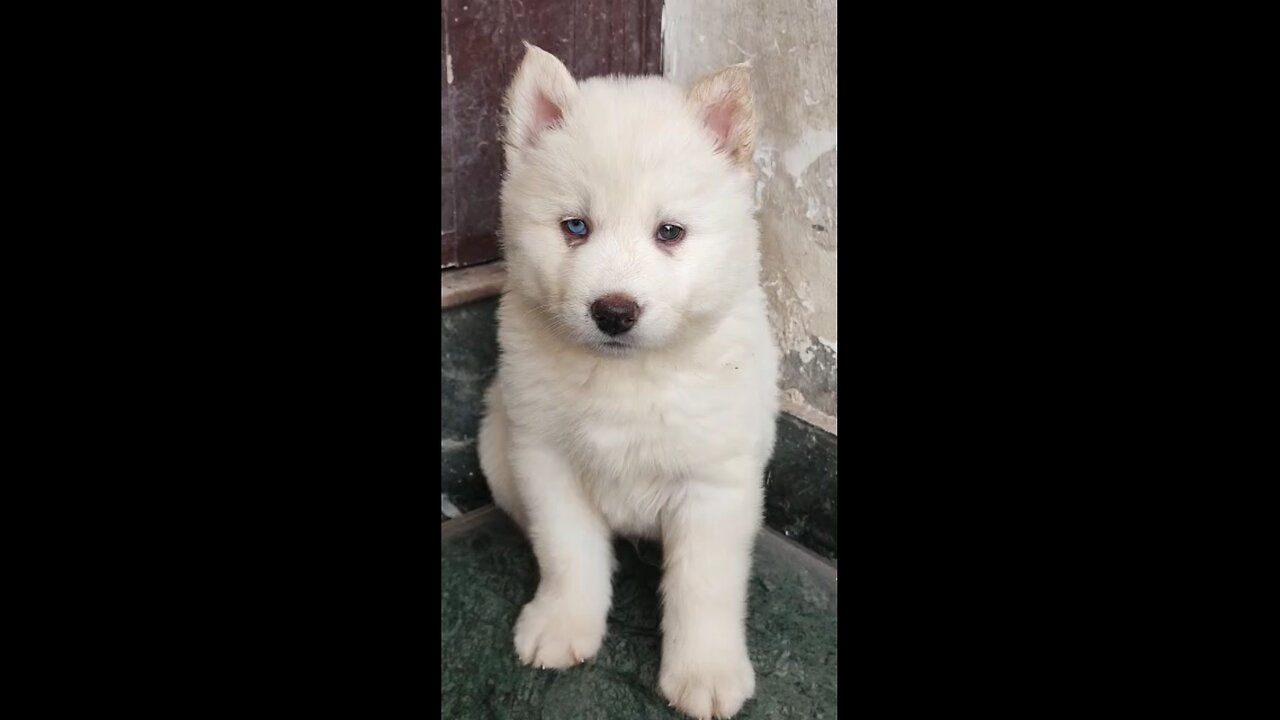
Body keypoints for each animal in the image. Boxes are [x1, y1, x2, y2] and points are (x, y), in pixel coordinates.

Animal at [481, 44, 778, 717]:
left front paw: (705, 673)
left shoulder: (714, 482)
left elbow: (702, 586)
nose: (613, 312)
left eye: (670, 232)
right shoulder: (544, 458)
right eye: (575, 227)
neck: (626, 373)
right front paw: (562, 625)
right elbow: (568, 554)